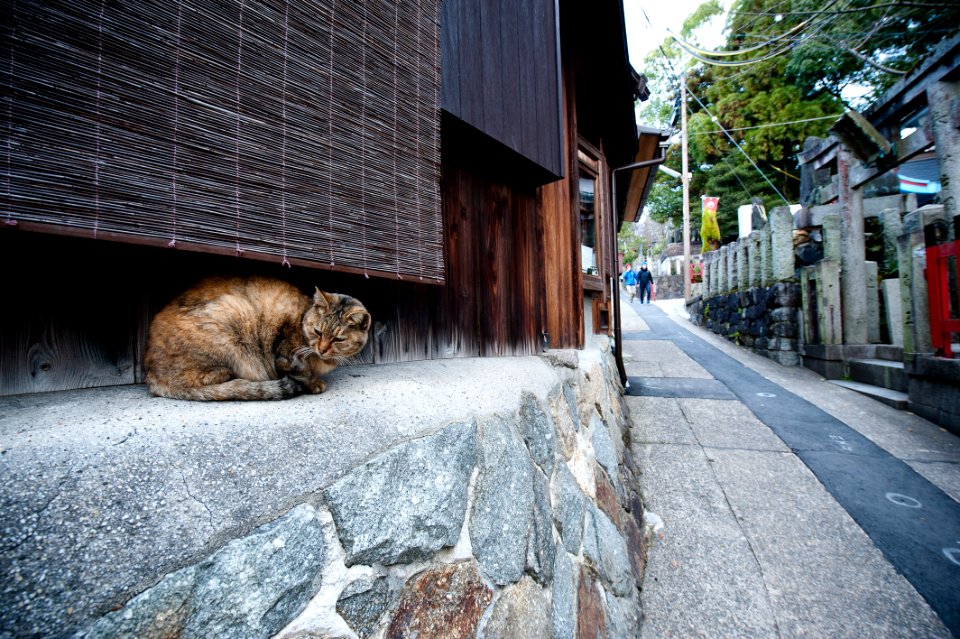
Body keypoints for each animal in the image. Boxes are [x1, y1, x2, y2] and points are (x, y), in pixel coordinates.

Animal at [144, 276, 374, 400]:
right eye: (318, 332)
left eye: (338, 340)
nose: (322, 349)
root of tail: (151, 375)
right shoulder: (286, 357)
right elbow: (301, 373)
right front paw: (314, 384)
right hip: (234, 318)